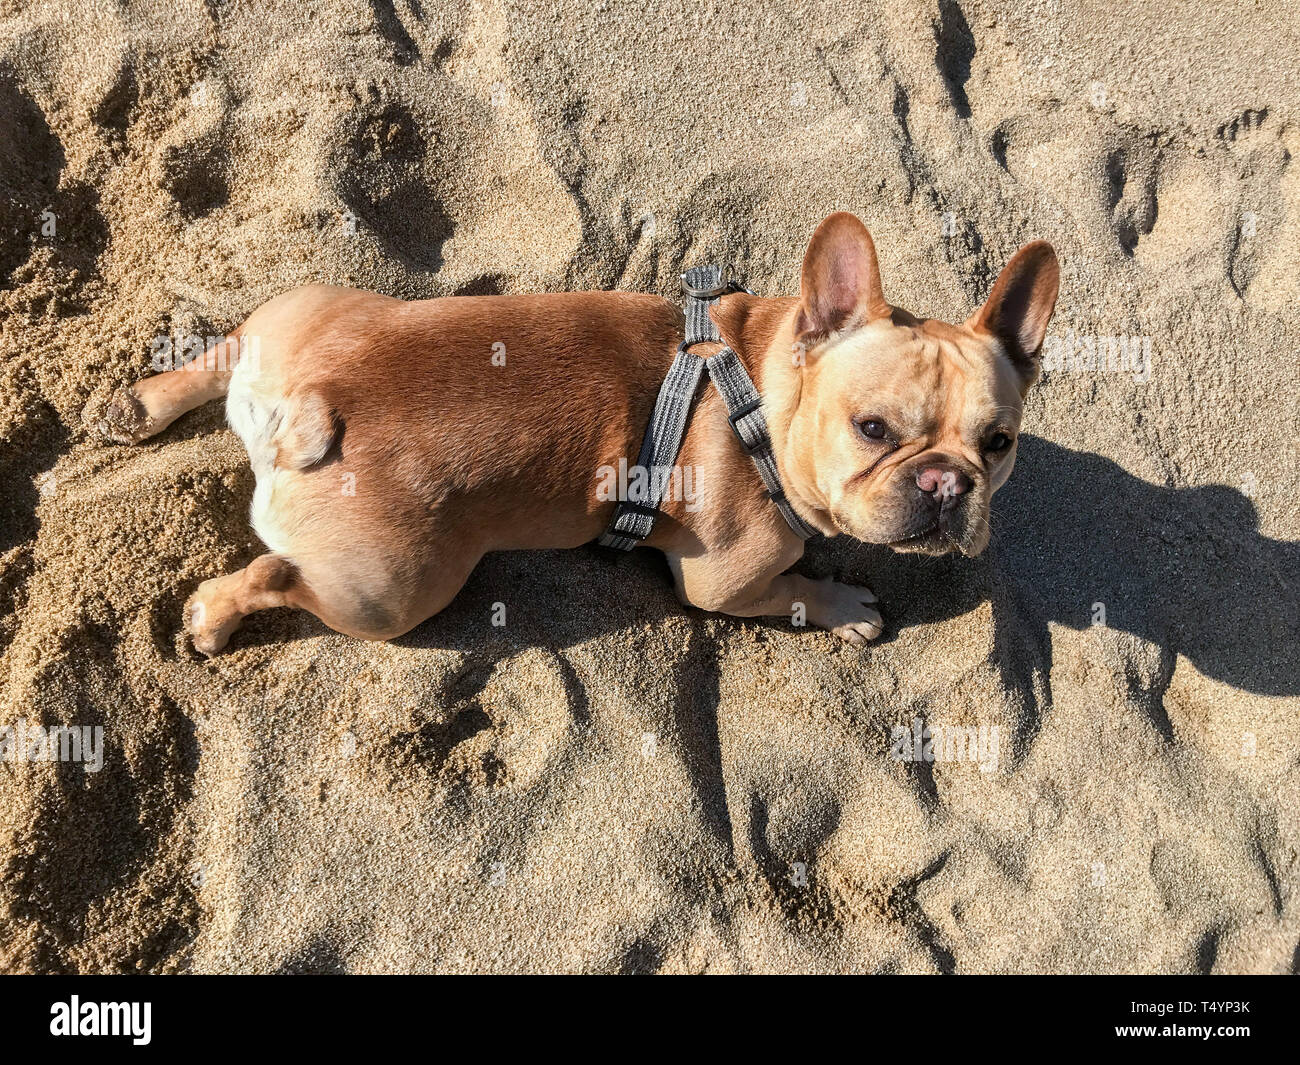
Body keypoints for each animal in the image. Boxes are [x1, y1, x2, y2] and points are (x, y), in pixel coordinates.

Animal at [101, 211, 1055, 652]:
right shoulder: (723, 583)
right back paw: (213, 617)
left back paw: (140, 405)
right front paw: (843, 604)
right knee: (276, 575)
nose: (947, 482)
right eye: (872, 428)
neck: (761, 391)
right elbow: (794, 589)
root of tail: (313, 401)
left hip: (311, 309)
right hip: (393, 592)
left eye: (998, 444)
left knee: (226, 348)